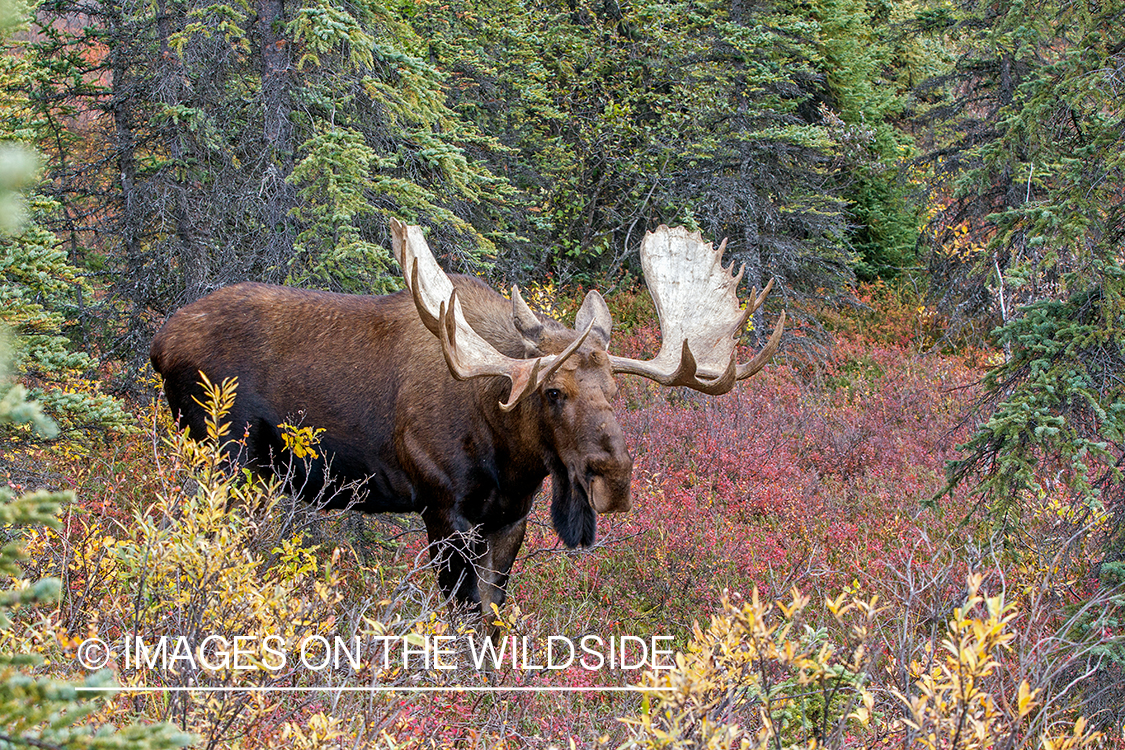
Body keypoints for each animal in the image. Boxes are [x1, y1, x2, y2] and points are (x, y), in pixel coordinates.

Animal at [149, 222, 783, 620]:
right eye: (554, 392)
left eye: (616, 391)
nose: (614, 476)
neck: (508, 457)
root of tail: (158, 345)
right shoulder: (443, 510)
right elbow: (460, 619)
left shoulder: (509, 519)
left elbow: (492, 618)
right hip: (224, 459)